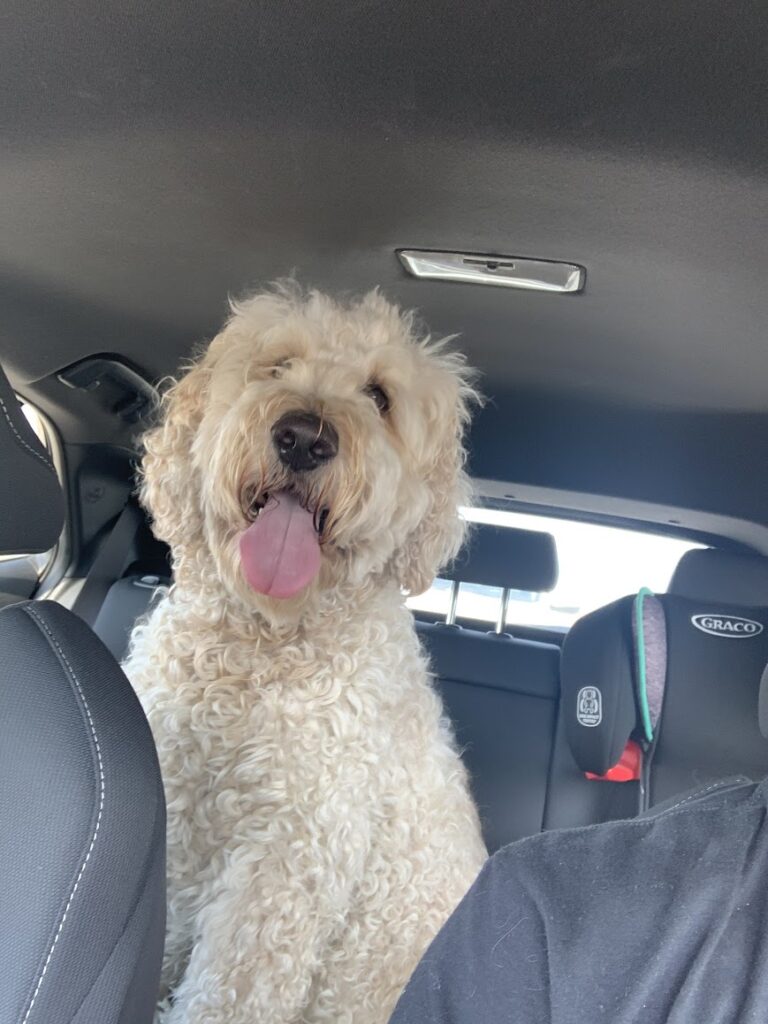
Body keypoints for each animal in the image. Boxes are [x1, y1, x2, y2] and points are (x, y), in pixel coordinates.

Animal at [125, 286, 487, 1024]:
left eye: (379, 397)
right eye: (277, 364)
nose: (303, 436)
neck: (260, 648)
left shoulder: (286, 868)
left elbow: (226, 995)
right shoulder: (167, 803)